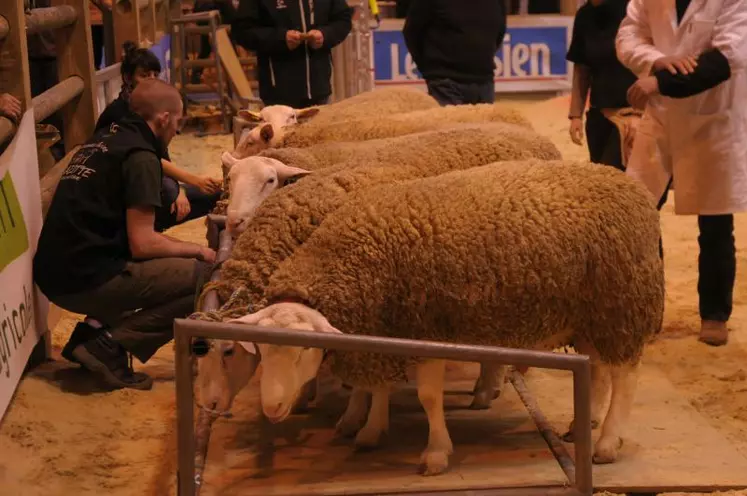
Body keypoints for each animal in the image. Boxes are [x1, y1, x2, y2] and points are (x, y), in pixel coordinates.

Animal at [229, 160, 668, 476]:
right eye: (262, 351)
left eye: (306, 350)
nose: (272, 408)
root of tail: (632, 187)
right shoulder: (383, 328)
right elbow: (379, 387)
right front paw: (371, 430)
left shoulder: (425, 330)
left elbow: (427, 397)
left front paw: (436, 453)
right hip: (593, 315)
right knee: (598, 369)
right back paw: (583, 424)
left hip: (622, 302)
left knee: (625, 377)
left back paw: (607, 443)